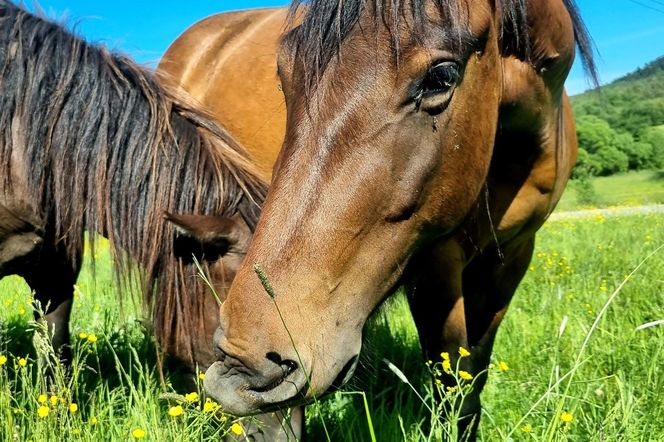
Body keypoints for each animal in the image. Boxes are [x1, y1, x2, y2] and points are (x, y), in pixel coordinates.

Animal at [161, 0, 596, 436]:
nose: (243, 369)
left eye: (442, 77)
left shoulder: (513, 255)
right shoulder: (435, 263)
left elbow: (471, 379)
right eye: (284, 76)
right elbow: (450, 378)